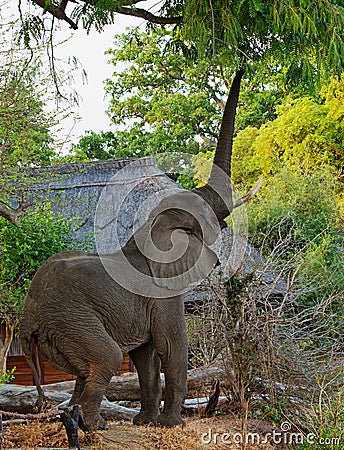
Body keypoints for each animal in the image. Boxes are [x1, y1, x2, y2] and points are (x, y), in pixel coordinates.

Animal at [20, 71, 260, 432]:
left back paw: (74, 419)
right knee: (107, 358)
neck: (147, 227)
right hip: (72, 319)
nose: (243, 67)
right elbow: (172, 346)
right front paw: (172, 425)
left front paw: (146, 423)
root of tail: (27, 319)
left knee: (85, 372)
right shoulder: (162, 293)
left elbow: (146, 358)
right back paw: (96, 426)